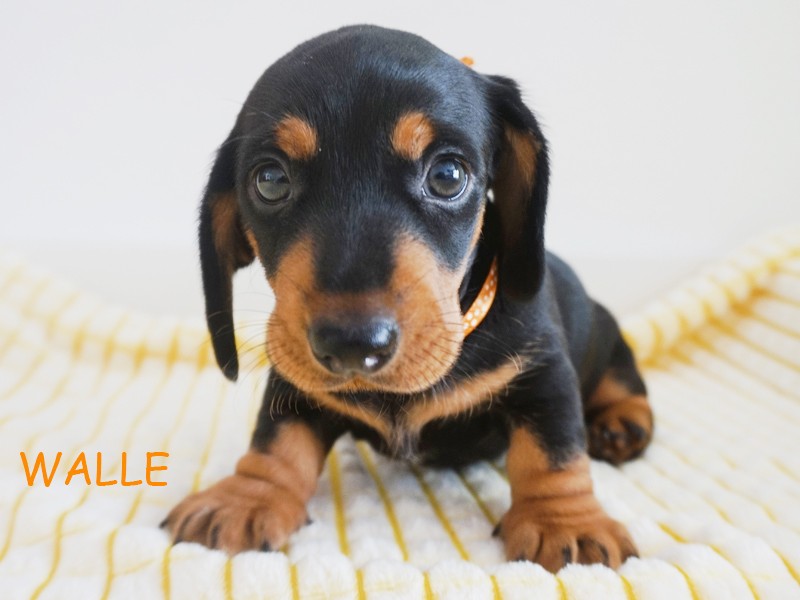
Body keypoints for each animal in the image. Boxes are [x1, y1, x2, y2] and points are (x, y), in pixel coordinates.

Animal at [162, 25, 653, 573]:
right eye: (269, 181)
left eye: (447, 175)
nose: (352, 344)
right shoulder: (292, 381)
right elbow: (276, 440)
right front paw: (248, 496)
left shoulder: (544, 371)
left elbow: (553, 448)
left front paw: (564, 521)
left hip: (611, 343)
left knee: (624, 386)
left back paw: (621, 425)